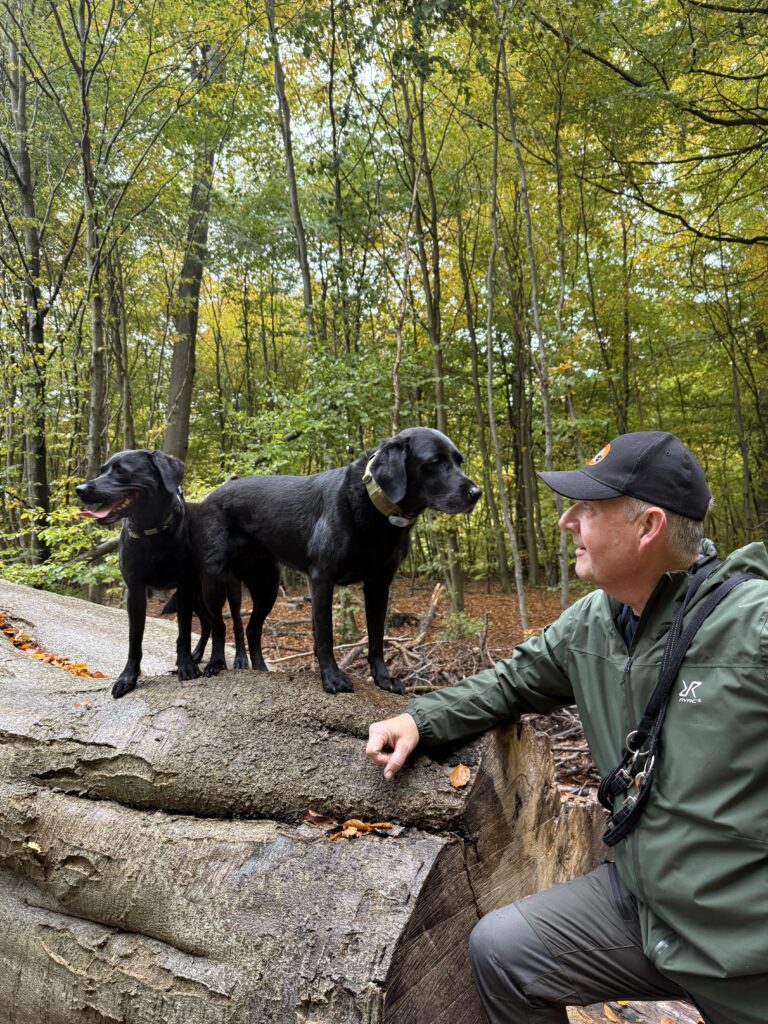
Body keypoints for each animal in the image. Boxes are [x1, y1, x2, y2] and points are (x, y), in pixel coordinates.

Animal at [76, 450, 248, 698]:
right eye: (102, 470)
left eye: (121, 471)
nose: (79, 489)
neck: (152, 530)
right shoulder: (135, 590)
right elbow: (135, 639)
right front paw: (127, 677)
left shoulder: (184, 584)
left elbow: (184, 632)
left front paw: (186, 667)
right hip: (198, 596)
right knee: (208, 623)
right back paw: (200, 655)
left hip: (220, 588)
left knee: (233, 623)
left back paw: (236, 659)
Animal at [193, 427, 481, 694]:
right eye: (435, 461)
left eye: (459, 460)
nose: (476, 492)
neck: (374, 508)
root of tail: (210, 496)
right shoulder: (322, 579)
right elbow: (325, 635)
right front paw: (332, 678)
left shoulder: (379, 584)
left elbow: (376, 637)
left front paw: (383, 679)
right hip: (215, 582)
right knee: (218, 625)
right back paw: (214, 664)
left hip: (267, 586)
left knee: (253, 629)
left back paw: (261, 670)